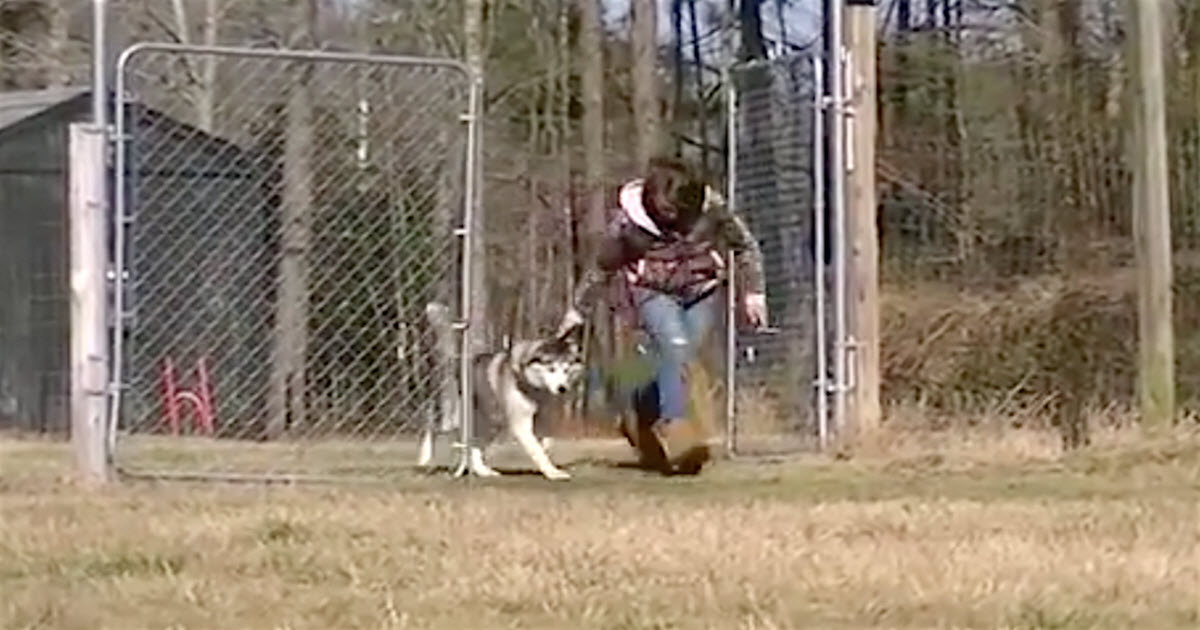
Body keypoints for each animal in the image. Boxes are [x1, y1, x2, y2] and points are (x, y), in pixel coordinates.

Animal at [417, 302, 585, 480]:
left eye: (566, 370)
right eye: (551, 369)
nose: (562, 388)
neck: (530, 384)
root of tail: (452, 361)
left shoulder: (543, 419)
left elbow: (546, 443)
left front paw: (548, 461)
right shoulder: (521, 423)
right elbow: (536, 449)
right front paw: (553, 472)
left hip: (490, 421)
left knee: (475, 446)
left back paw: (483, 471)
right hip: (453, 418)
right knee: (432, 429)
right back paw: (425, 457)